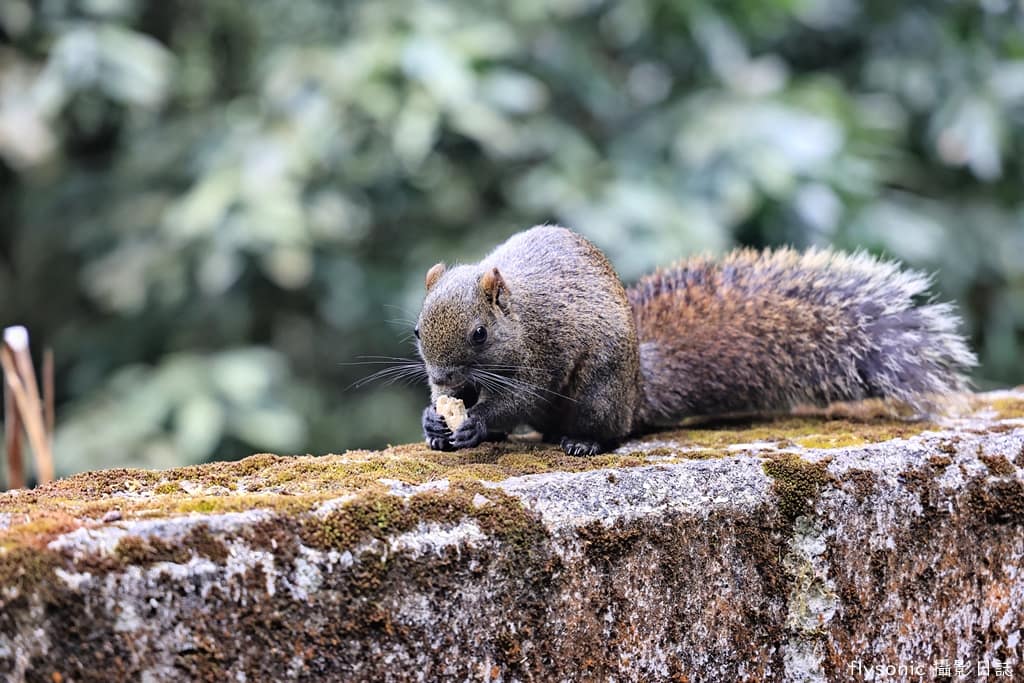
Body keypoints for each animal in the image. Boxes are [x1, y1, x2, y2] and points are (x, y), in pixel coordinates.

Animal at [415, 225, 976, 455]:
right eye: (418, 330)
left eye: (480, 334)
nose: (441, 376)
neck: (520, 314)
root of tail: (637, 392)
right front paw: (435, 420)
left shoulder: (544, 352)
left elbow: (522, 397)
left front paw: (477, 422)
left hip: (601, 391)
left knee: (605, 429)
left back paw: (583, 442)